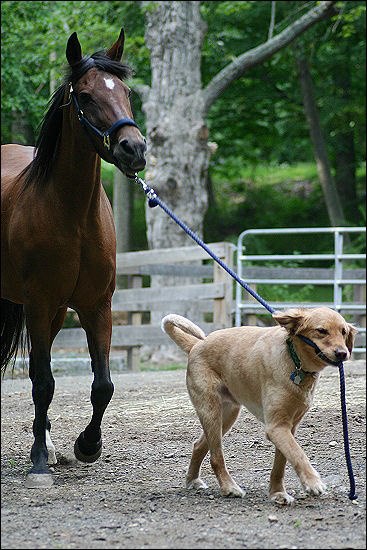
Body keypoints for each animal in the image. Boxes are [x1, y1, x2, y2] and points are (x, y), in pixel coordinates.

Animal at [1, 29, 147, 492]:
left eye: (126, 92)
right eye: (84, 96)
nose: (133, 149)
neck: (72, 214)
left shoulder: (95, 305)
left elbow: (102, 385)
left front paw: (87, 445)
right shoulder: (39, 303)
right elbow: (44, 382)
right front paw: (37, 463)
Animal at [161, 308, 356, 506]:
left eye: (344, 332)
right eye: (321, 331)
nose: (342, 353)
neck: (294, 359)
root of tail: (197, 344)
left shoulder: (288, 428)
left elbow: (280, 465)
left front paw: (277, 493)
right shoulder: (276, 427)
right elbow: (298, 454)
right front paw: (312, 482)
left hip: (227, 416)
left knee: (199, 446)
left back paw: (193, 480)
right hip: (211, 412)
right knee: (216, 457)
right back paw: (229, 487)